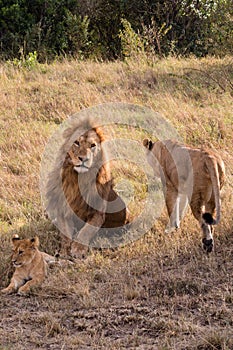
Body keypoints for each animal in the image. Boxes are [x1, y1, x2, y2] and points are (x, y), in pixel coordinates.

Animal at [46, 123, 126, 258]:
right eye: (76, 143)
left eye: (92, 145)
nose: (83, 159)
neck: (79, 181)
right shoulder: (64, 210)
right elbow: (66, 234)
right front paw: (64, 251)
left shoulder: (98, 213)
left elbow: (86, 230)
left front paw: (78, 250)